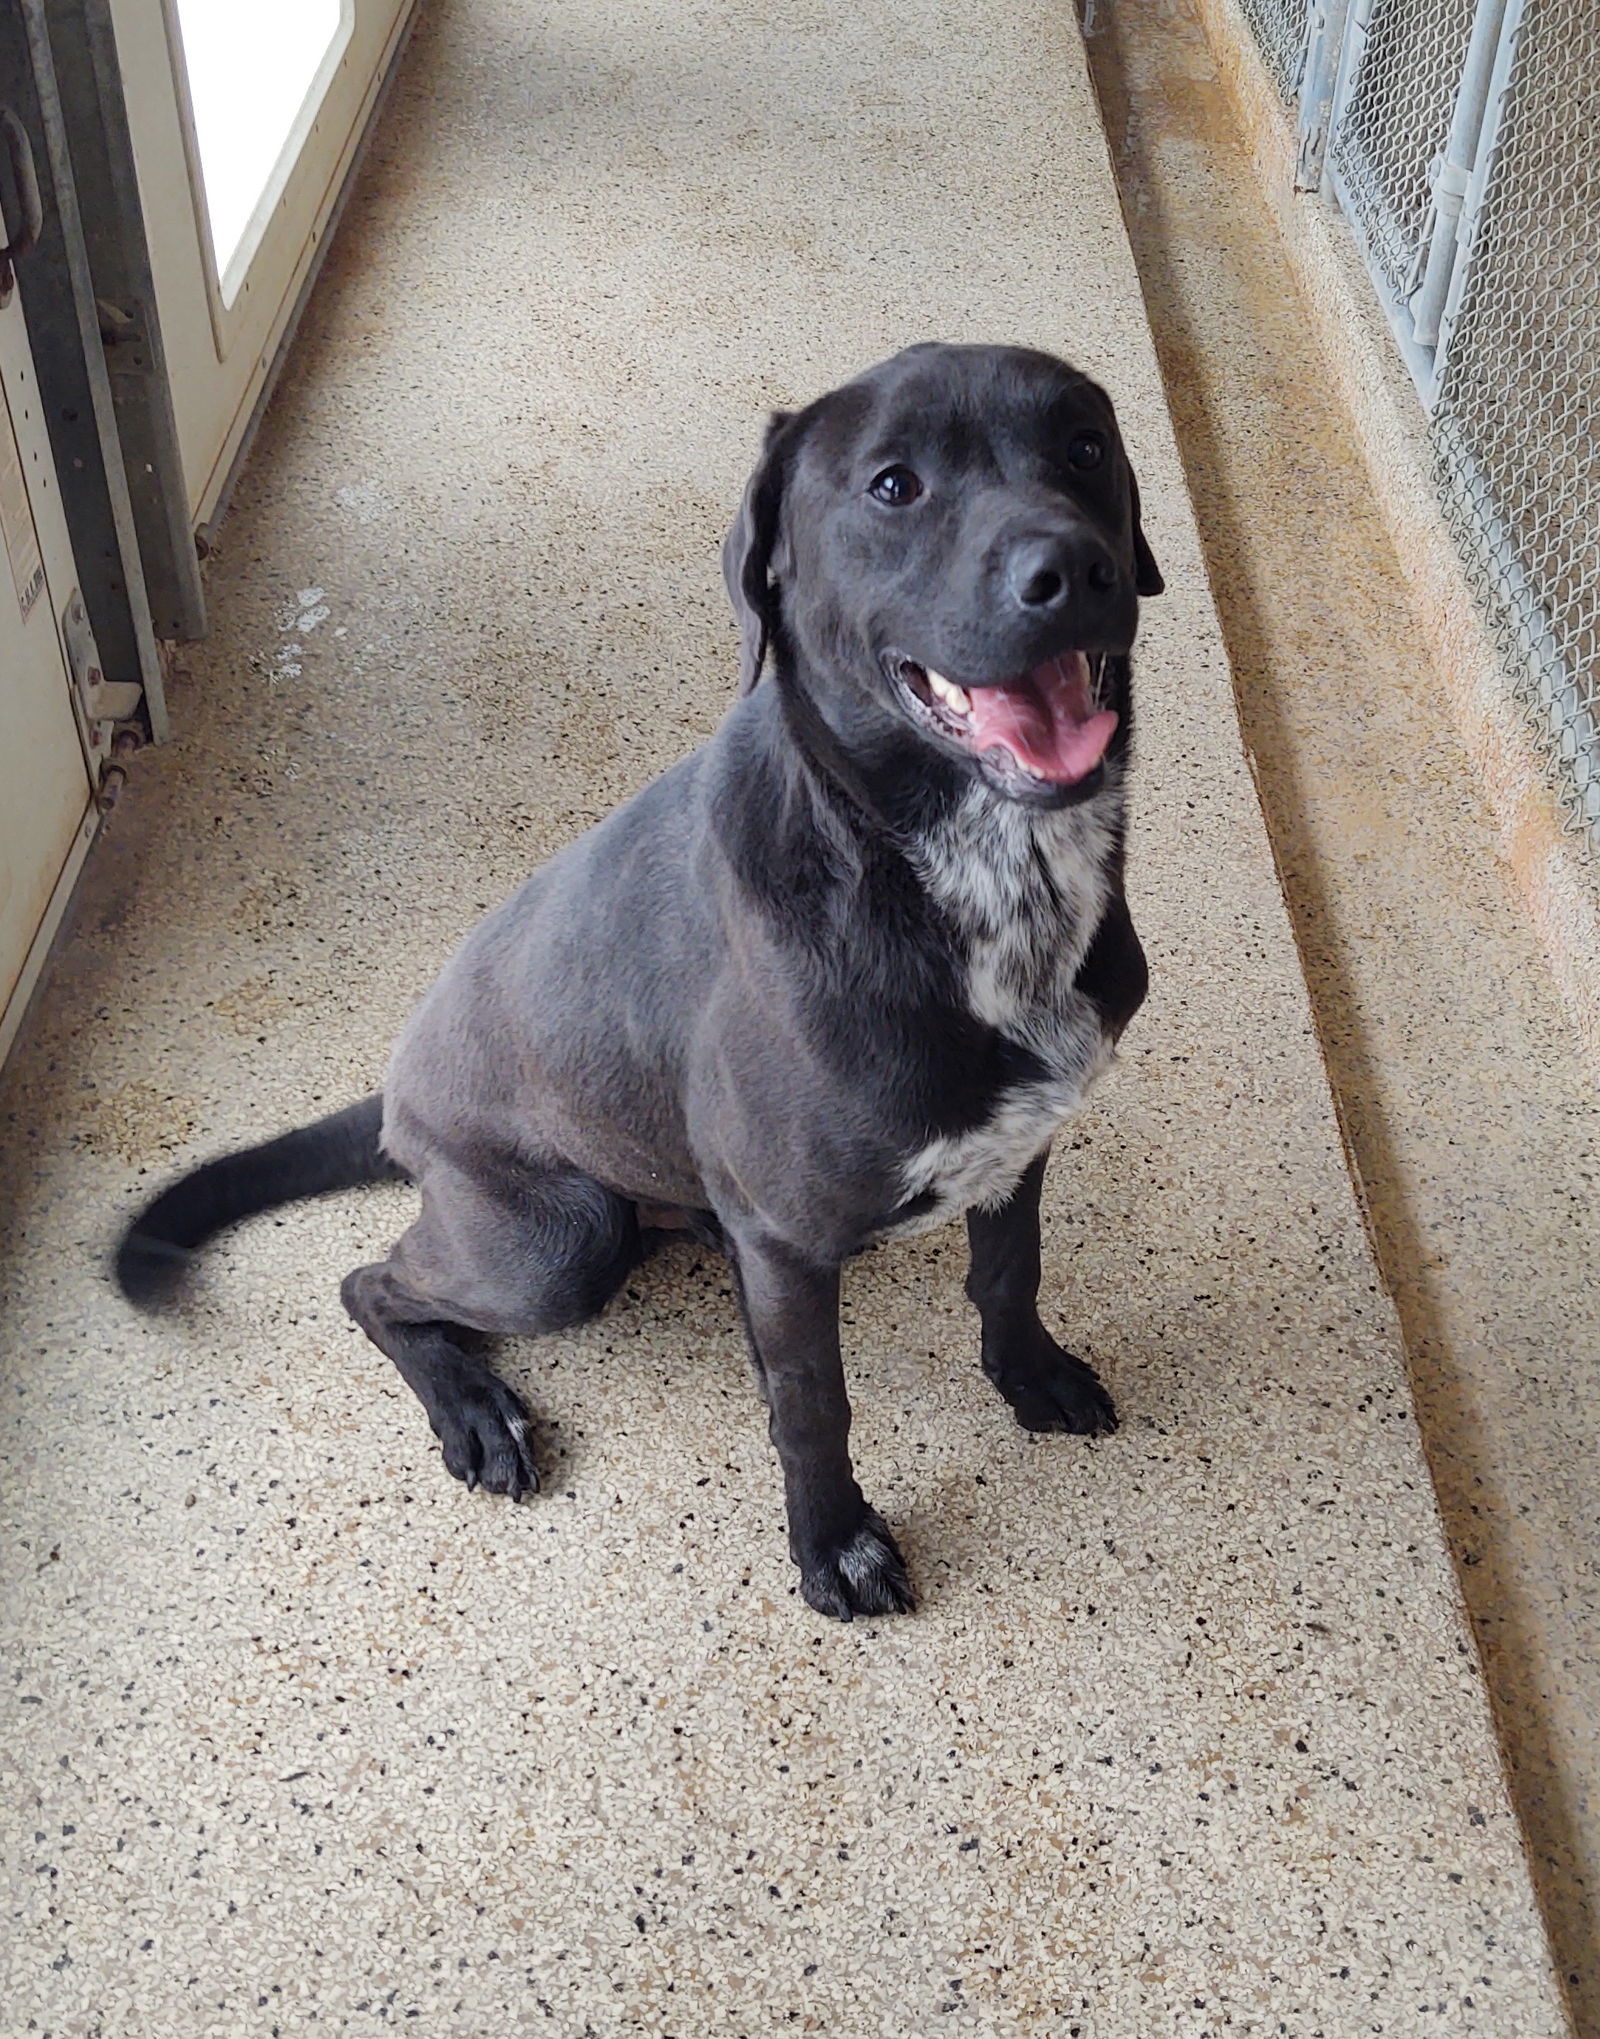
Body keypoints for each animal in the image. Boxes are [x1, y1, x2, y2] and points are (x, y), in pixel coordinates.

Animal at [115, 350, 1157, 1623]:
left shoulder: (1017, 1142)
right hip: (554, 1244)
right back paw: (475, 1407)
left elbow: (1008, 1272)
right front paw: (833, 1543)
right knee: (370, 1282)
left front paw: (1029, 1375)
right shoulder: (788, 1240)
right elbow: (812, 1407)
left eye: (1084, 448)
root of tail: (396, 1088)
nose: (1072, 569)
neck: (963, 875)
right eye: (893, 484)